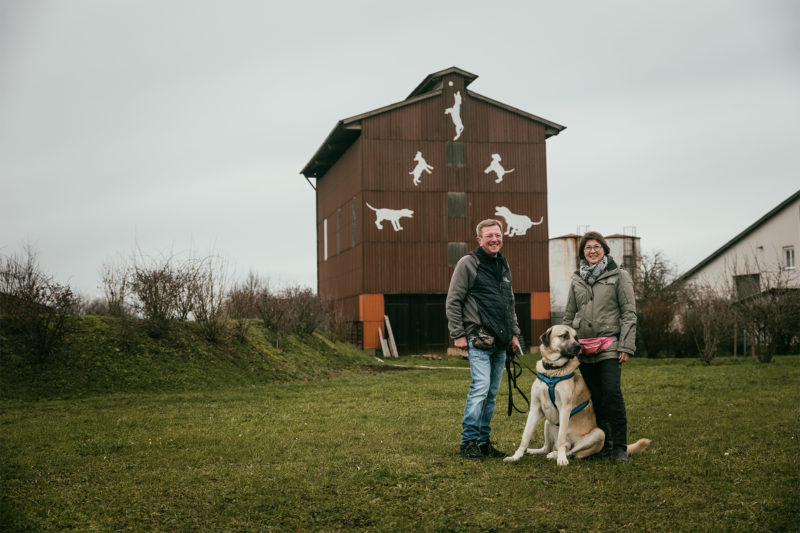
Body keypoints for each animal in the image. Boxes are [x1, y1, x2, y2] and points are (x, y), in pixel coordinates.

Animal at [506, 322, 648, 464]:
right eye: (564, 335)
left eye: (576, 338)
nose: (579, 347)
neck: (552, 372)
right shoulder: (535, 408)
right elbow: (525, 436)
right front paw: (516, 456)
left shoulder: (564, 408)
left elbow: (561, 438)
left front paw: (561, 459)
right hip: (548, 422)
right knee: (547, 448)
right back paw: (532, 451)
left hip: (599, 434)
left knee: (571, 451)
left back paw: (556, 455)